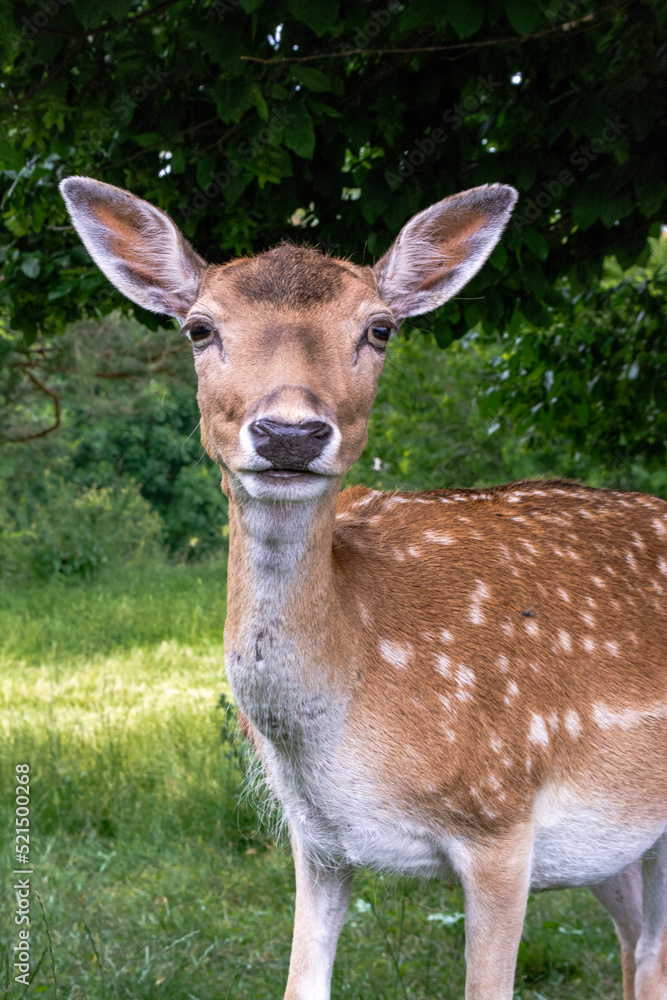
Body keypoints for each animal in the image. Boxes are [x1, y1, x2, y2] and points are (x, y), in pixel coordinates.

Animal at [58, 176, 667, 996]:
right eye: (197, 328)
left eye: (379, 329)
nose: (288, 433)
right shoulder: (317, 841)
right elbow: (300, 983)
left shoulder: (503, 817)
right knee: (640, 946)